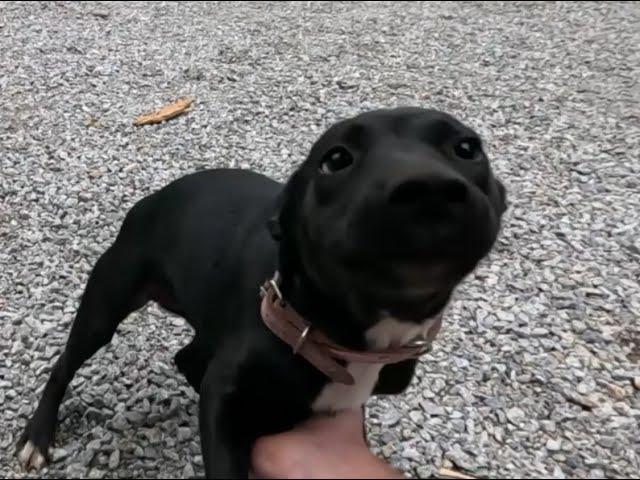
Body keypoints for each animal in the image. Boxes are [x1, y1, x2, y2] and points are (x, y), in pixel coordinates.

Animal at [18, 107, 504, 478]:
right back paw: (37, 437)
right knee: (65, 365)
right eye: (335, 159)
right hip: (105, 305)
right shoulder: (224, 402)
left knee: (187, 357)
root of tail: (154, 196)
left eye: (467, 148)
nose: (428, 188)